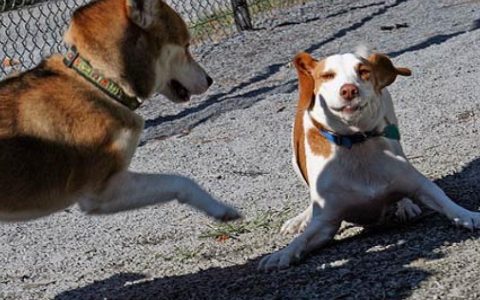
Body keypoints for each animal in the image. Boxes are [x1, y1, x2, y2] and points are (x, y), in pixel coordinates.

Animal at [0, 0, 240, 223]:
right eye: (187, 46)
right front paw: (220, 209)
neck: (99, 82)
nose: (209, 80)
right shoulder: (102, 192)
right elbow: (181, 181)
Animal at [258, 48, 480, 270]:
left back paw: (406, 205)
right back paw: (301, 218)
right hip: (295, 162)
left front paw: (468, 215)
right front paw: (282, 254)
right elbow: (303, 239)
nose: (349, 90)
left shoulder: (417, 183)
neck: (356, 143)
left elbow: (442, 198)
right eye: (327, 75)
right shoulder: (326, 222)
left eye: (363, 71)